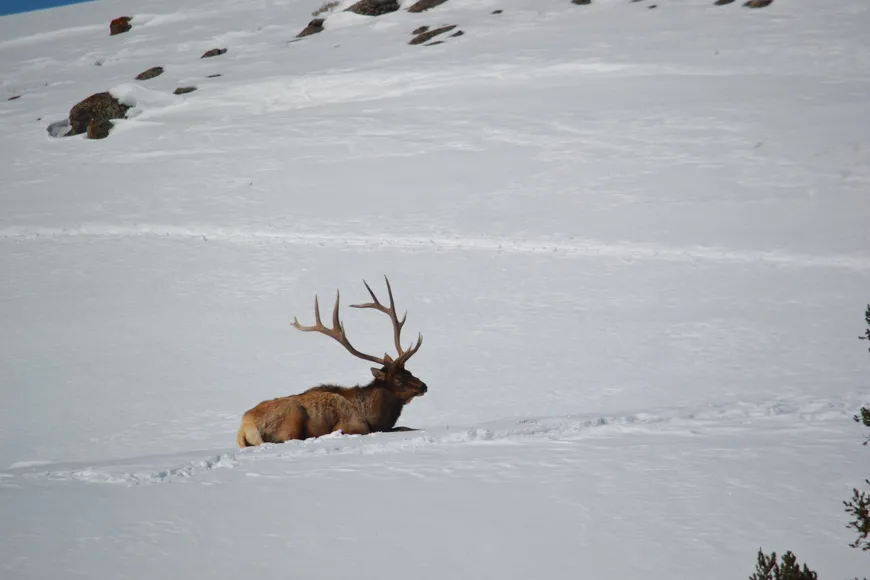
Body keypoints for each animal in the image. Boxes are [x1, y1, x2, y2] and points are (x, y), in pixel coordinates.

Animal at [237, 276, 427, 447]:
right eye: (399, 379)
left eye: (409, 372)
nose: (424, 386)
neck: (374, 417)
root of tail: (245, 429)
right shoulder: (352, 426)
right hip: (292, 416)